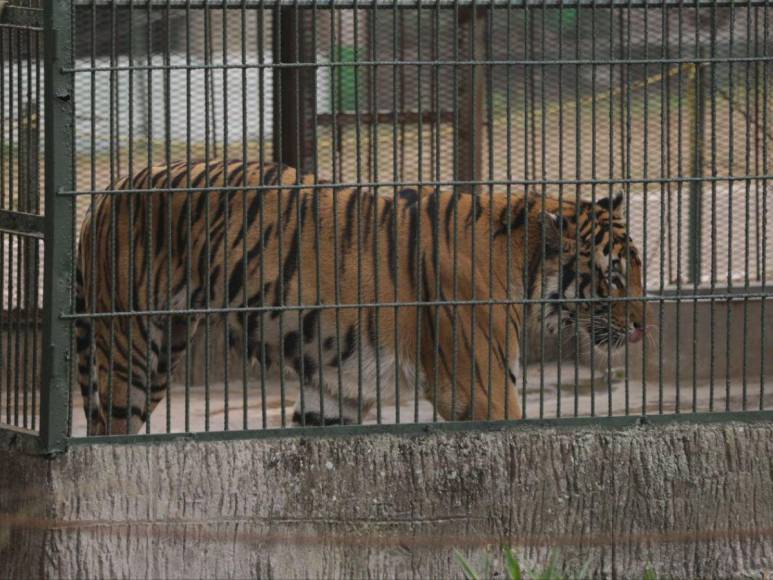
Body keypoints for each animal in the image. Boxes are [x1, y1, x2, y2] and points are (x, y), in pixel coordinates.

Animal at [75, 160, 648, 436]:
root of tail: (107, 191)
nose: (645, 326)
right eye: (615, 276)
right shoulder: (482, 391)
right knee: (106, 433)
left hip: (162, 351)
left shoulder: (336, 392)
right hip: (131, 345)